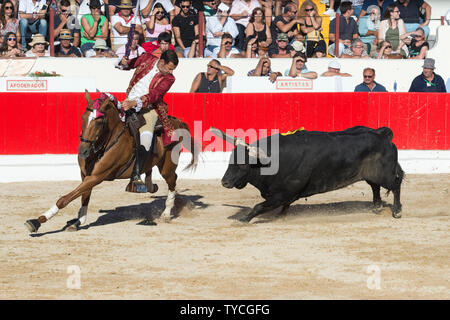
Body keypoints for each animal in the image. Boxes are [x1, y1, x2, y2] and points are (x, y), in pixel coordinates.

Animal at [25, 90, 199, 232]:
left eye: (99, 122)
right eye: (83, 118)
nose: (82, 151)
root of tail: (177, 122)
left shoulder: (97, 176)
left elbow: (65, 199)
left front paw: (37, 221)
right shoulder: (86, 175)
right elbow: (84, 196)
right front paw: (78, 221)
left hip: (167, 166)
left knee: (172, 181)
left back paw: (166, 213)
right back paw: (145, 185)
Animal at [211, 125, 404, 222]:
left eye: (243, 165)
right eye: (230, 160)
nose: (225, 182)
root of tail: (382, 135)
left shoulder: (281, 194)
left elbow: (258, 206)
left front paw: (243, 220)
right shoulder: (285, 195)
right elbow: (284, 206)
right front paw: (281, 217)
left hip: (386, 174)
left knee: (395, 185)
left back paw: (397, 211)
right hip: (372, 174)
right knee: (375, 187)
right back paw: (377, 206)